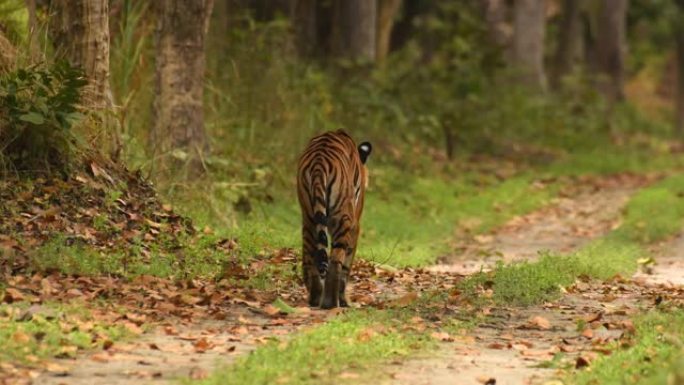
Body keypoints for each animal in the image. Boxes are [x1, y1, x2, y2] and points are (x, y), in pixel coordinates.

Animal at [296, 129, 372, 308]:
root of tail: (319, 162)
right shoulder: (355, 225)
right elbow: (347, 264)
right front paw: (344, 300)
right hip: (342, 219)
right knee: (336, 261)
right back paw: (331, 302)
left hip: (308, 219)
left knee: (310, 257)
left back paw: (315, 298)